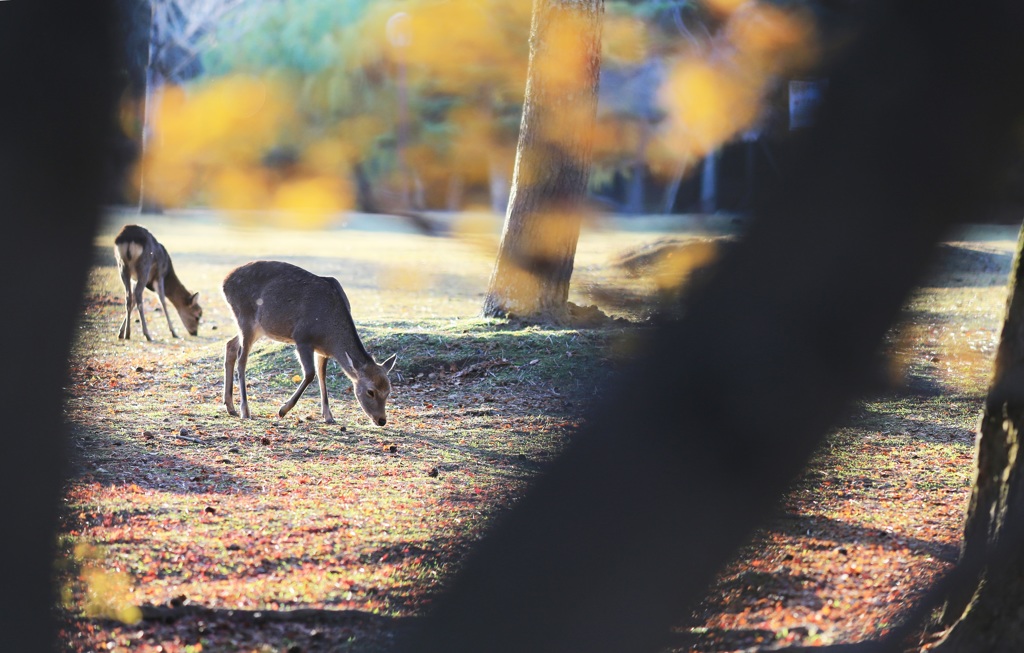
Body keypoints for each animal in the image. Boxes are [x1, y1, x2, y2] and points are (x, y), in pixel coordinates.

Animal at [221, 260, 395, 429]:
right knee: (242, 360)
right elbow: (310, 373)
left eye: (388, 390)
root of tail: (224, 281)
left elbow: (322, 376)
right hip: (245, 318)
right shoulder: (302, 338)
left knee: (230, 345)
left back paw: (230, 407)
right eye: (370, 391)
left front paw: (329, 416)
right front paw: (283, 410)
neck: (330, 335)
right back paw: (245, 410)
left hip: (258, 328)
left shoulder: (323, 350)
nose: (382, 420)